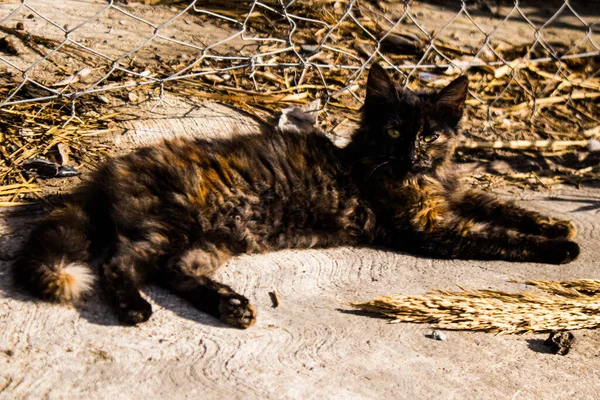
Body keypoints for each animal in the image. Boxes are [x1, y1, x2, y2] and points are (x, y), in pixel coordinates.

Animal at [12, 65, 576, 328]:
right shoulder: (431, 228)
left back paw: (232, 306)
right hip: (175, 222)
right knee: (120, 261)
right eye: (395, 131)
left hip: (218, 235)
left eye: (432, 135)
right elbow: (497, 236)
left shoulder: (454, 196)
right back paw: (135, 309)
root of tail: (108, 170)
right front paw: (560, 248)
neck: (425, 180)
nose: (411, 154)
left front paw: (558, 224)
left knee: (176, 270)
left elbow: (500, 206)